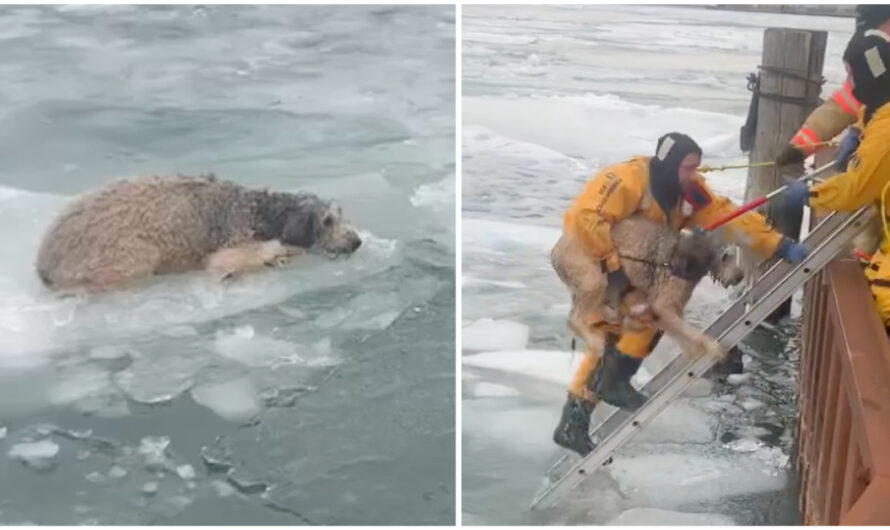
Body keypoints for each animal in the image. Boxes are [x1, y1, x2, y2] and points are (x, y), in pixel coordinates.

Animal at [34, 173, 360, 290]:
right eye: (328, 220)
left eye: (341, 214)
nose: (357, 241)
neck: (264, 212)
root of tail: (44, 261)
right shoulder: (236, 242)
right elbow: (228, 261)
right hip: (126, 257)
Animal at [548, 212, 744, 360]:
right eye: (728, 256)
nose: (740, 276)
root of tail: (555, 251)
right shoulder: (665, 306)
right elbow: (691, 332)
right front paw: (712, 348)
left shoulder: (664, 310)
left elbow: (680, 332)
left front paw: (694, 351)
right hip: (593, 279)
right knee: (574, 319)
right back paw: (596, 340)